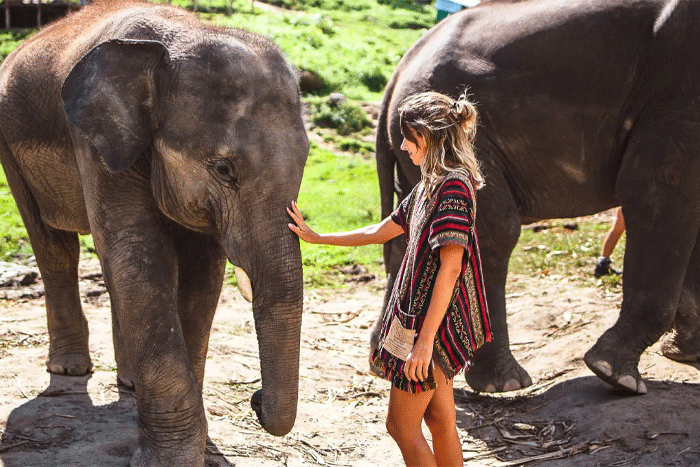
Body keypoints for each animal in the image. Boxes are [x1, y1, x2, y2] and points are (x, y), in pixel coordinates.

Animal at [0, 1, 308, 466]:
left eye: (306, 161)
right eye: (224, 170)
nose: (254, 399)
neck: (183, 35)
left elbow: (202, 272)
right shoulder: (95, 142)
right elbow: (139, 250)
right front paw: (170, 460)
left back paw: (128, 381)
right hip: (10, 146)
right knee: (55, 247)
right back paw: (70, 369)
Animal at [374, 0, 700, 396]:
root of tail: (398, 72)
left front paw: (684, 353)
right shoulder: (678, 89)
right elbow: (656, 193)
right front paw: (616, 376)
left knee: (408, 234)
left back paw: (387, 365)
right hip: (466, 138)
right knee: (494, 230)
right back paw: (503, 383)